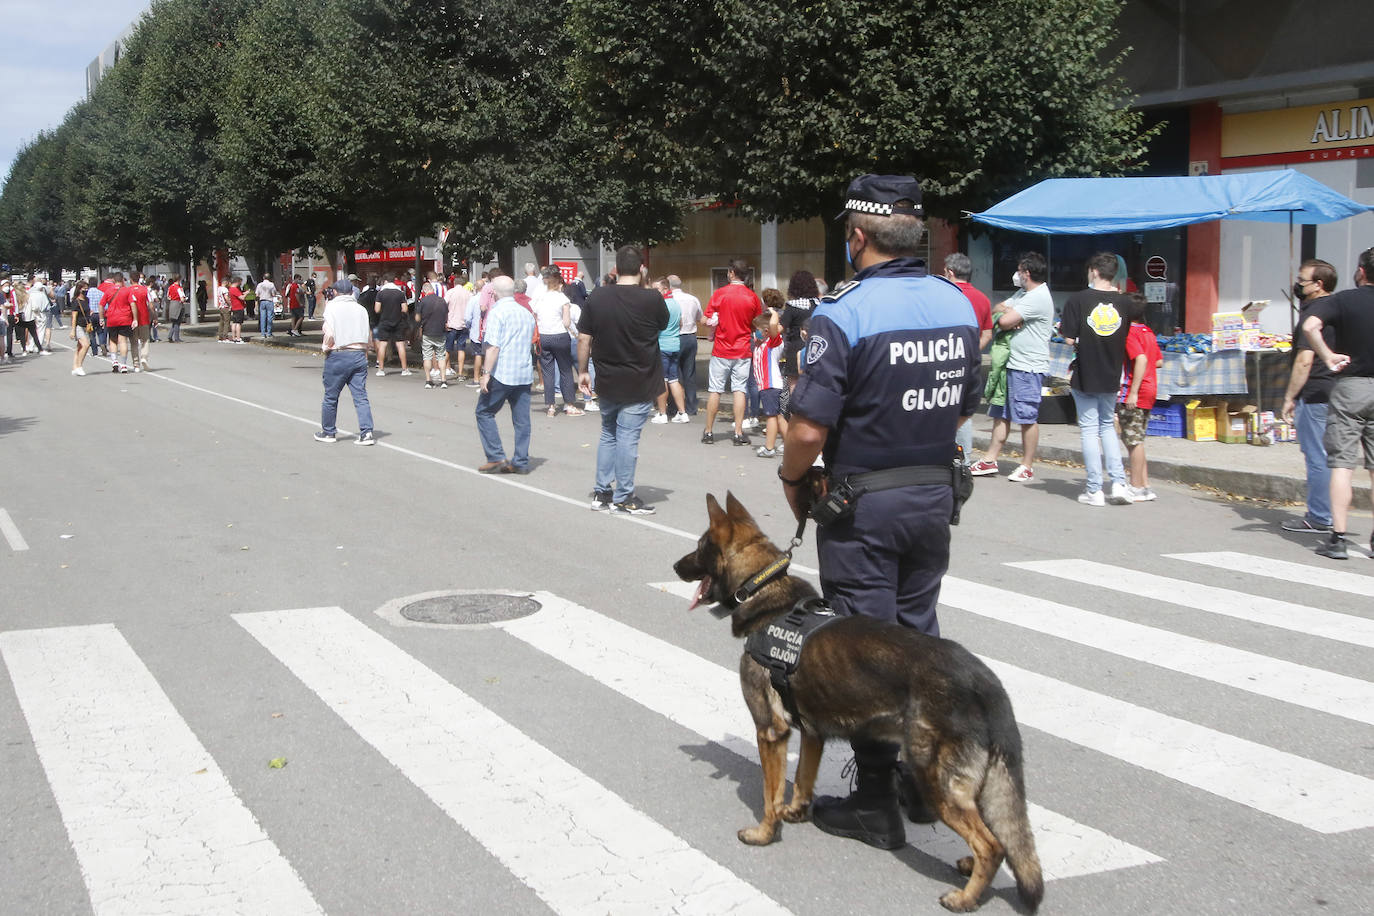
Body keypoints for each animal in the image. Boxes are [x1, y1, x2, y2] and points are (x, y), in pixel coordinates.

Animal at [676, 497, 1038, 911]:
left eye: (700, 547)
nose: (675, 567)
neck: (765, 589)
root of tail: (985, 682)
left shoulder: (770, 732)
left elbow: (770, 793)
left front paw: (765, 833)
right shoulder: (812, 733)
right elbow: (802, 780)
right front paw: (796, 811)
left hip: (935, 778)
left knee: (992, 845)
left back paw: (966, 897)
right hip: (978, 782)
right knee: (1000, 837)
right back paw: (969, 866)